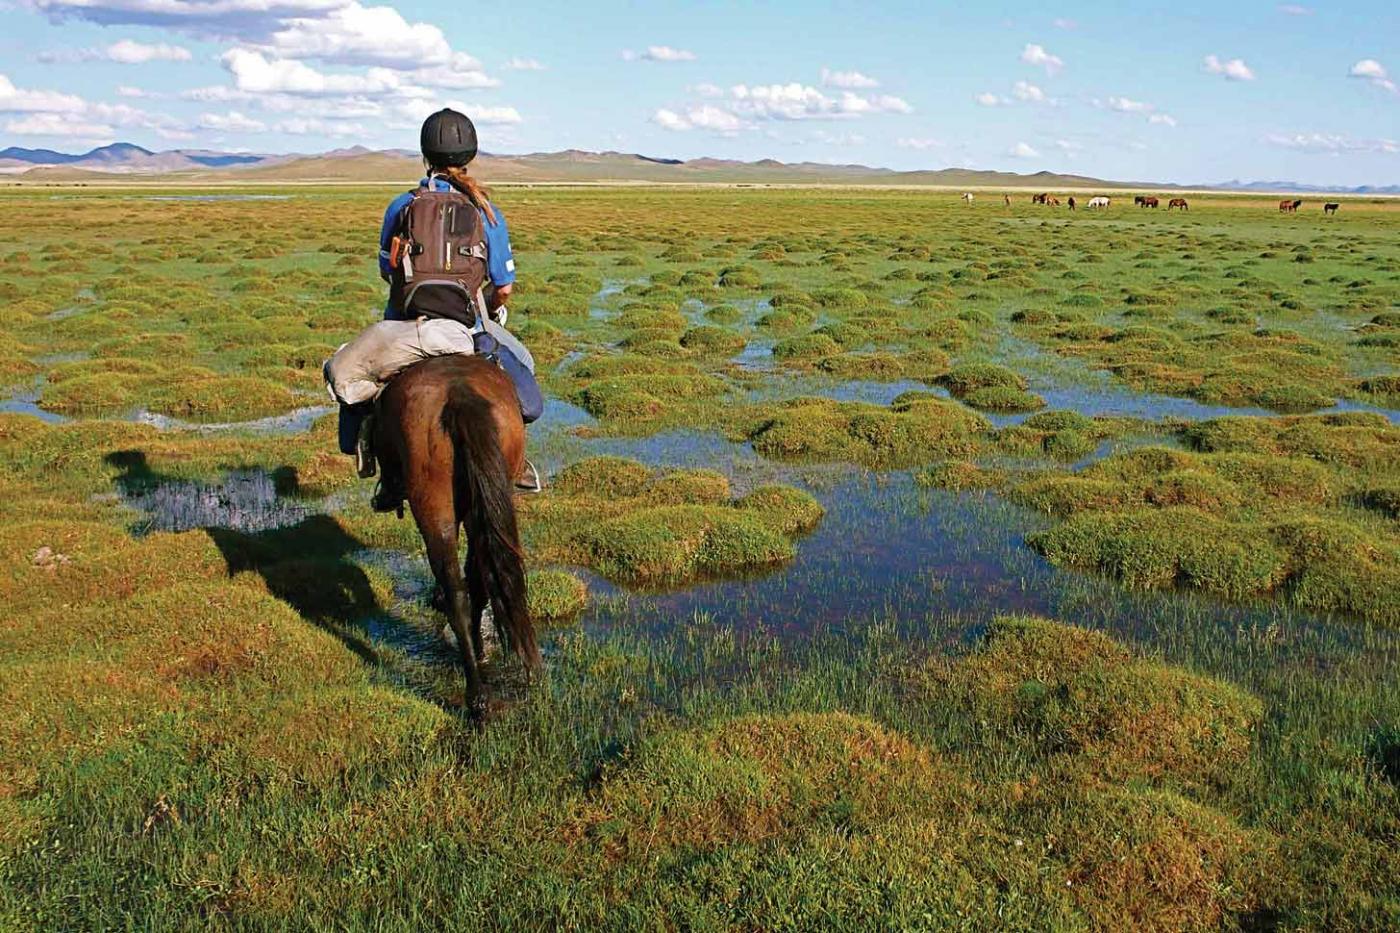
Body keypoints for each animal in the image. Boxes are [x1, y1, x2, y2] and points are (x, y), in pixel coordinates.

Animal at [372, 350, 534, 711]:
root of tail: (460, 394)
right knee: (479, 579)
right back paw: (481, 654)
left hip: (432, 502)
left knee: (455, 586)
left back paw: (476, 696)